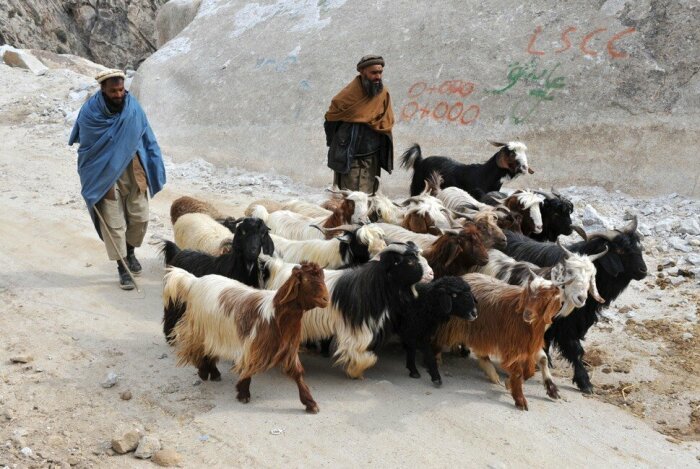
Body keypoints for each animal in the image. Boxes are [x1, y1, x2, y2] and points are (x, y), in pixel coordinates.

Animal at [163, 262, 330, 412]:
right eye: (307, 280)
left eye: (322, 277)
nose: (326, 299)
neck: (276, 315)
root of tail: (195, 281)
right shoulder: (253, 345)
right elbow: (249, 366)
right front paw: (243, 393)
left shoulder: (288, 348)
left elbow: (297, 373)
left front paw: (310, 403)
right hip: (200, 328)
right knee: (200, 348)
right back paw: (204, 372)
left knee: (209, 350)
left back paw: (213, 373)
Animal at [438, 274, 564, 410]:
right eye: (529, 294)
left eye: (546, 298)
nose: (527, 313)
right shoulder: (511, 346)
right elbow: (518, 372)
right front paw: (519, 399)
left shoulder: (530, 344)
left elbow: (540, 362)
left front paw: (552, 390)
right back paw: (438, 358)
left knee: (480, 351)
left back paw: (491, 373)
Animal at [500, 218, 648, 394]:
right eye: (620, 250)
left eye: (638, 247)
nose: (643, 270)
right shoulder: (565, 324)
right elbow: (575, 350)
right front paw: (585, 382)